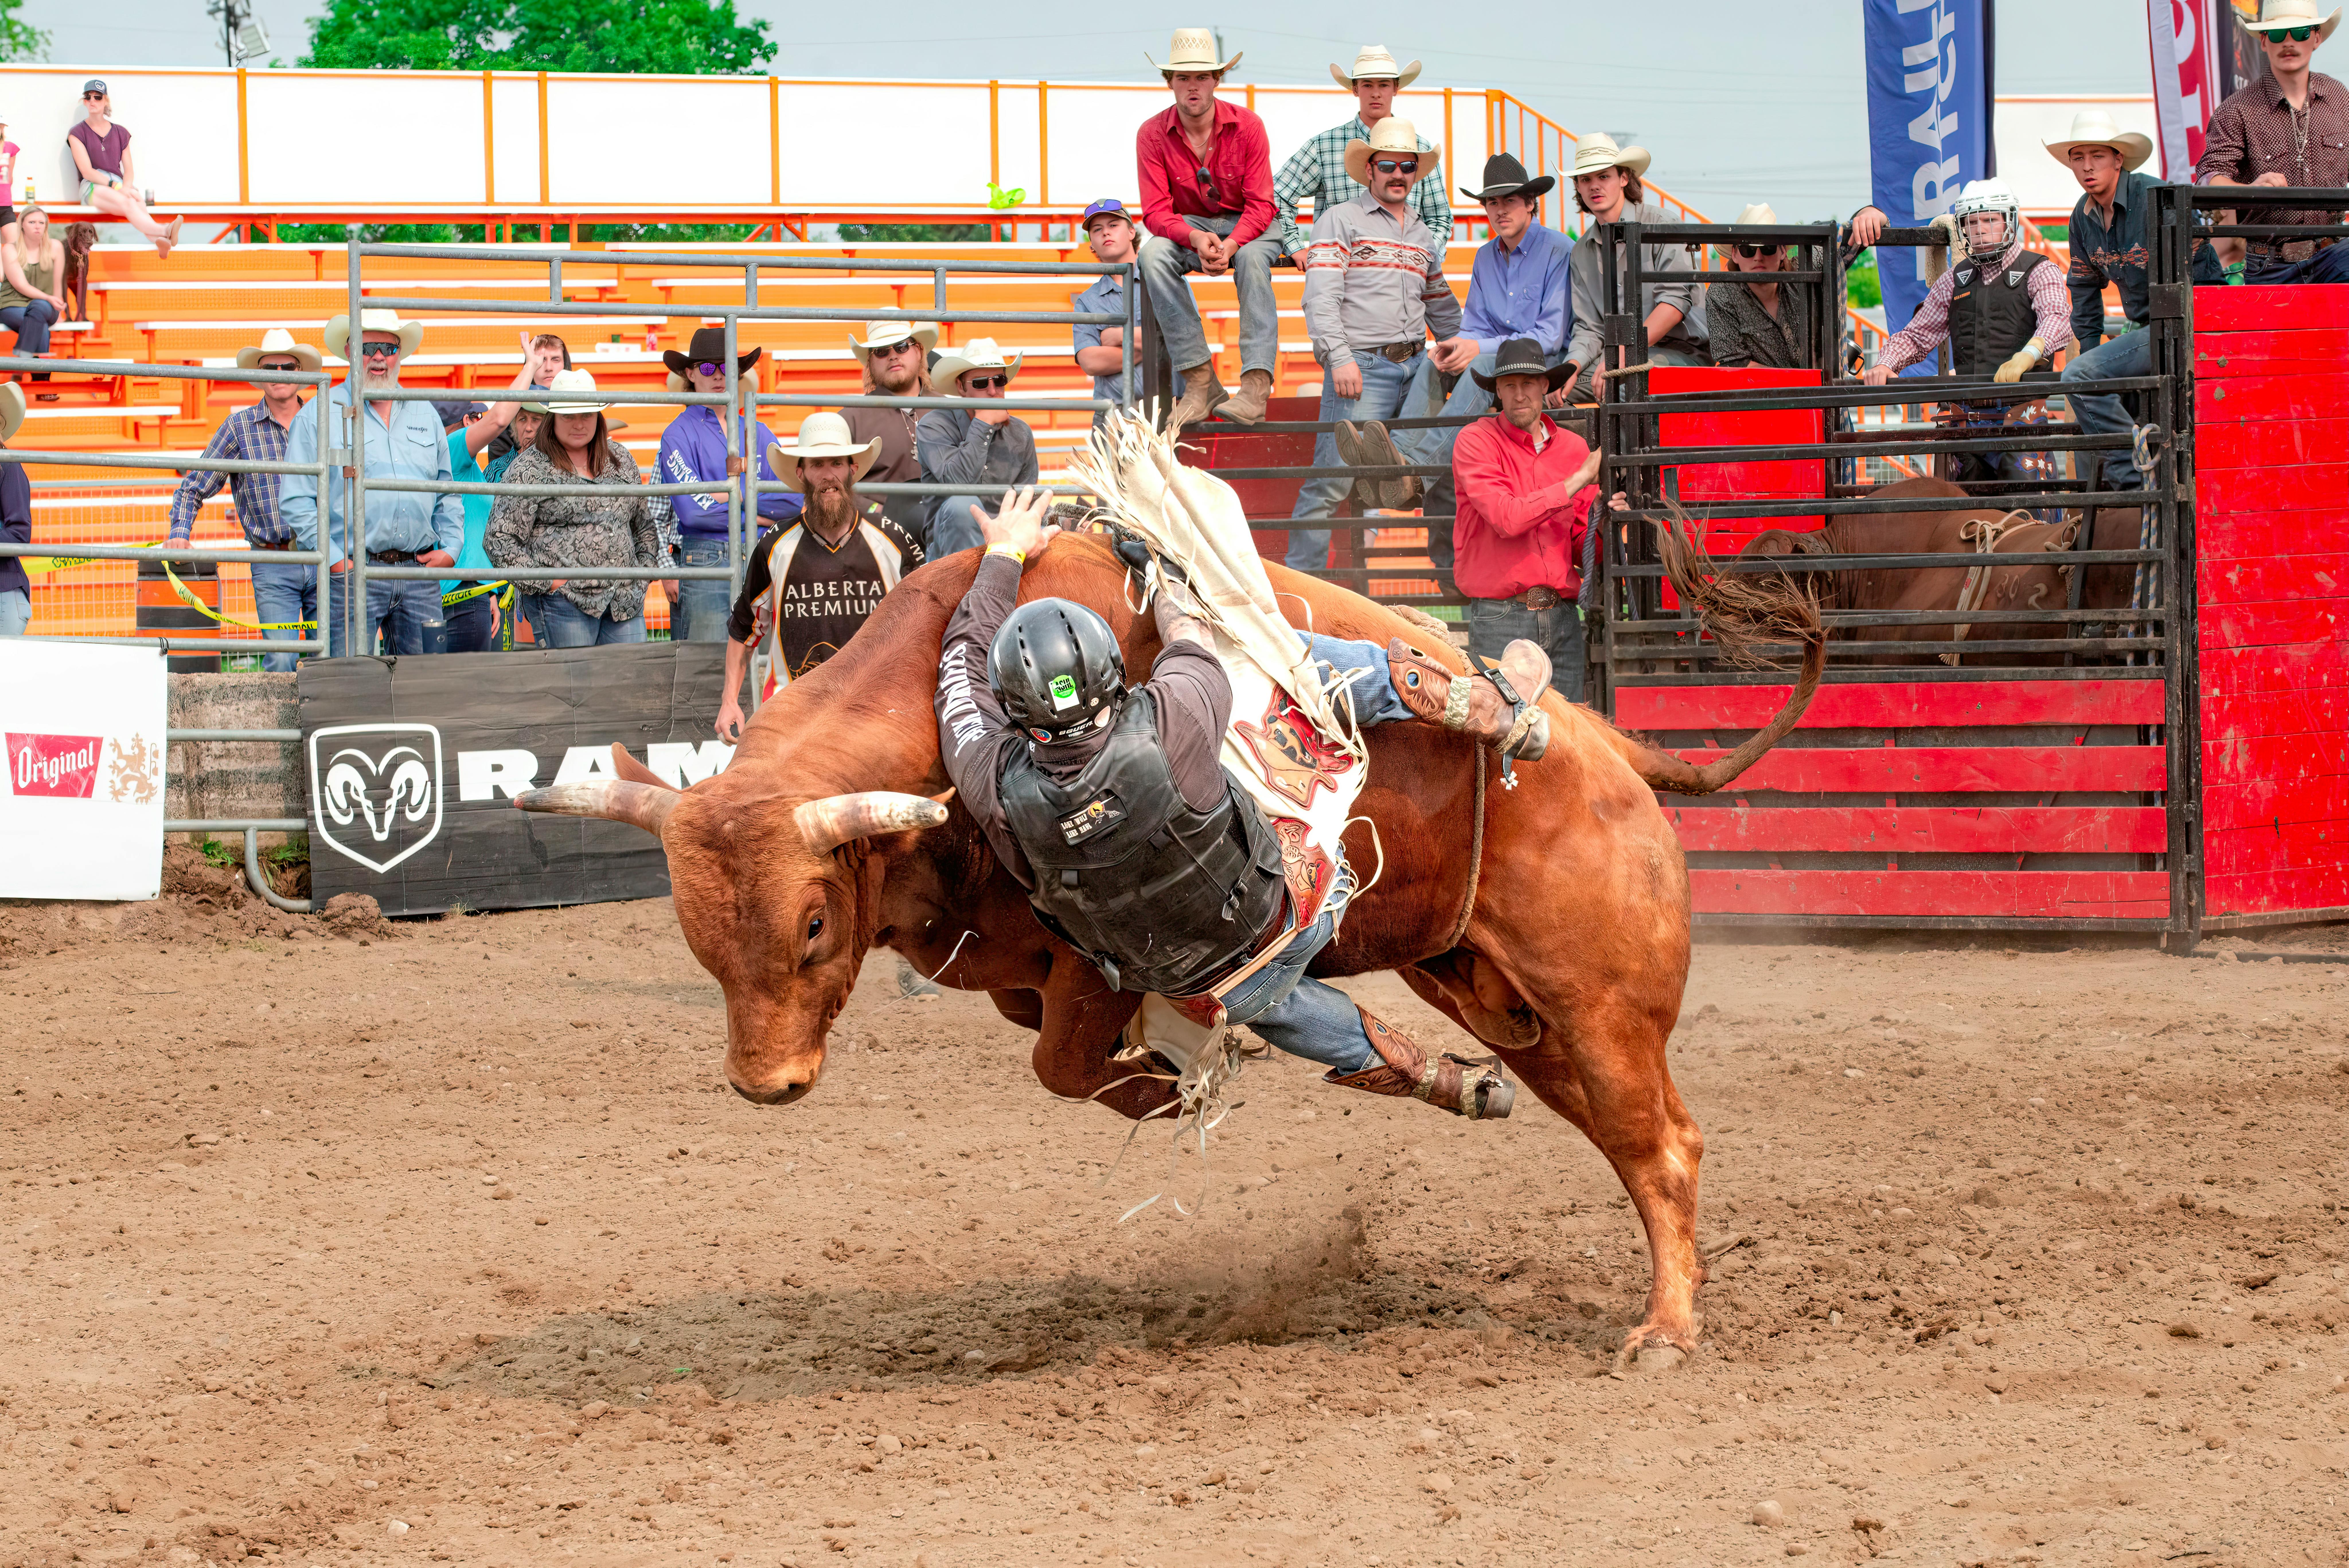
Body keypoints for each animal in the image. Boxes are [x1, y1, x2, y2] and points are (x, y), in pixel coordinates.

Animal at [513, 523, 1824, 1373]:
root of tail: (1617, 753)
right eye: (697, 938)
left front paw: (1157, 1083)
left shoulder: (1096, 960)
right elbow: (1063, 1054)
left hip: (1598, 1002)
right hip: (1515, 1008)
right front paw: (1160, 1077)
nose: (766, 1083)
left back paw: (1664, 1332)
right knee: (1617, 1135)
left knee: (1664, 1149)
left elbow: (1066, 1056)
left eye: (814, 923)